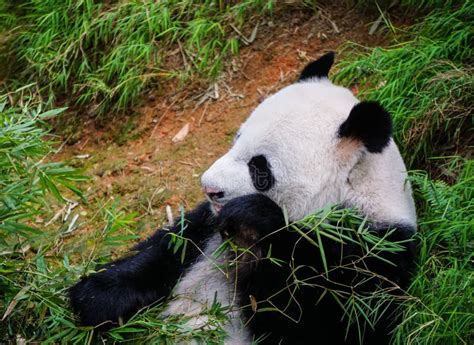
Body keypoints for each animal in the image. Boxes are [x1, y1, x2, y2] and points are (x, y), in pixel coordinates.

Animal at [68, 51, 416, 344]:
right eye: (236, 139)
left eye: (259, 168)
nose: (208, 188)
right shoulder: (207, 226)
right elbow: (169, 249)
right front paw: (96, 297)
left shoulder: (373, 257)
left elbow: (333, 323)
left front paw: (254, 218)